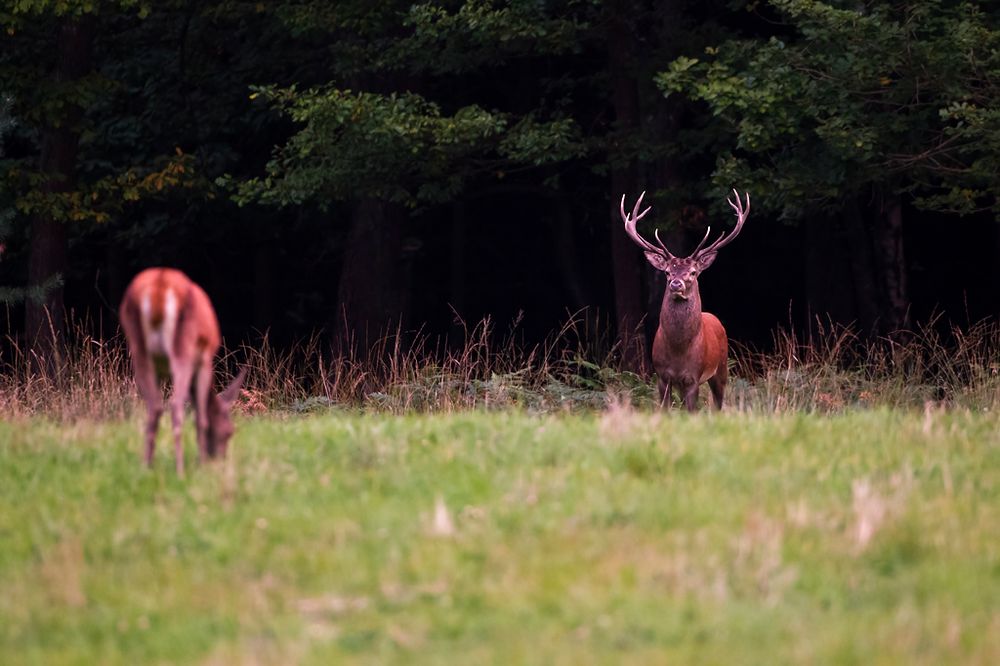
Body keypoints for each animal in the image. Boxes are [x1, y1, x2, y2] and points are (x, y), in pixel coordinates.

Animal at [119, 264, 246, 472]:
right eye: (229, 432)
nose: (220, 458)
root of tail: (159, 286)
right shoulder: (204, 360)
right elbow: (200, 417)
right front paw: (201, 463)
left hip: (139, 349)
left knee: (154, 408)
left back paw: (146, 467)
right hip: (183, 347)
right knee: (175, 406)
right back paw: (180, 469)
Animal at [616, 188, 752, 410]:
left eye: (693, 272)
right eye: (667, 272)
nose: (676, 284)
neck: (679, 351)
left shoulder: (693, 377)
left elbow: (692, 411)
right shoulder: (662, 376)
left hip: (722, 368)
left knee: (718, 404)